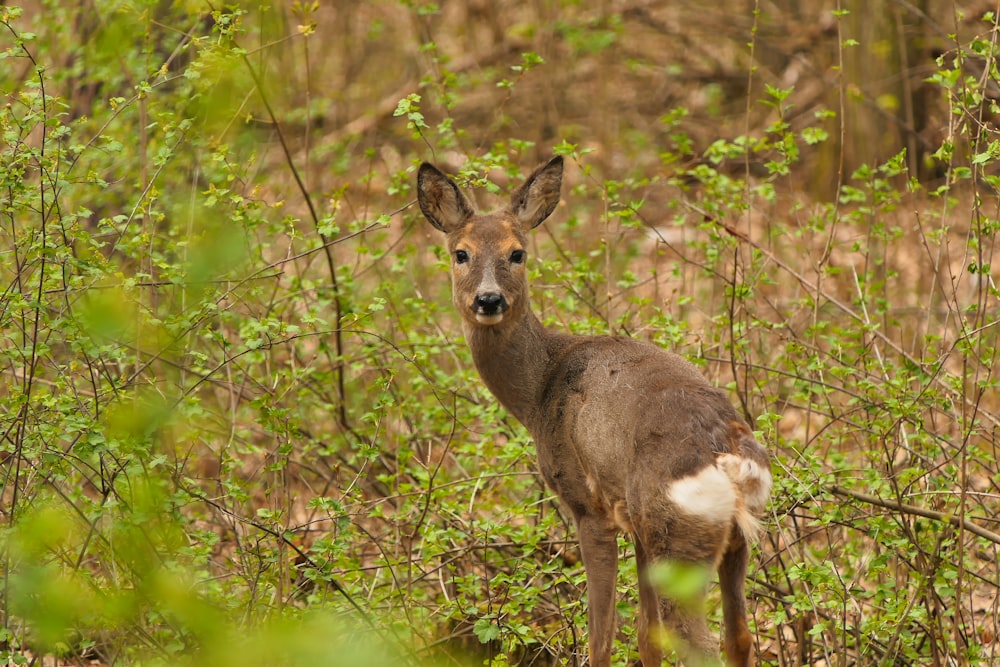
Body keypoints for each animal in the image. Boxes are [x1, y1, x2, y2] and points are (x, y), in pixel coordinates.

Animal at [414, 154, 772, 664]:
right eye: (460, 253)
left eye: (517, 253)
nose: (488, 299)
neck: (539, 390)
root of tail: (728, 452)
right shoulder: (631, 520)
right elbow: (645, 633)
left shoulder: (588, 506)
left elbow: (601, 636)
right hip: (728, 538)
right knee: (738, 636)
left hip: (677, 531)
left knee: (697, 642)